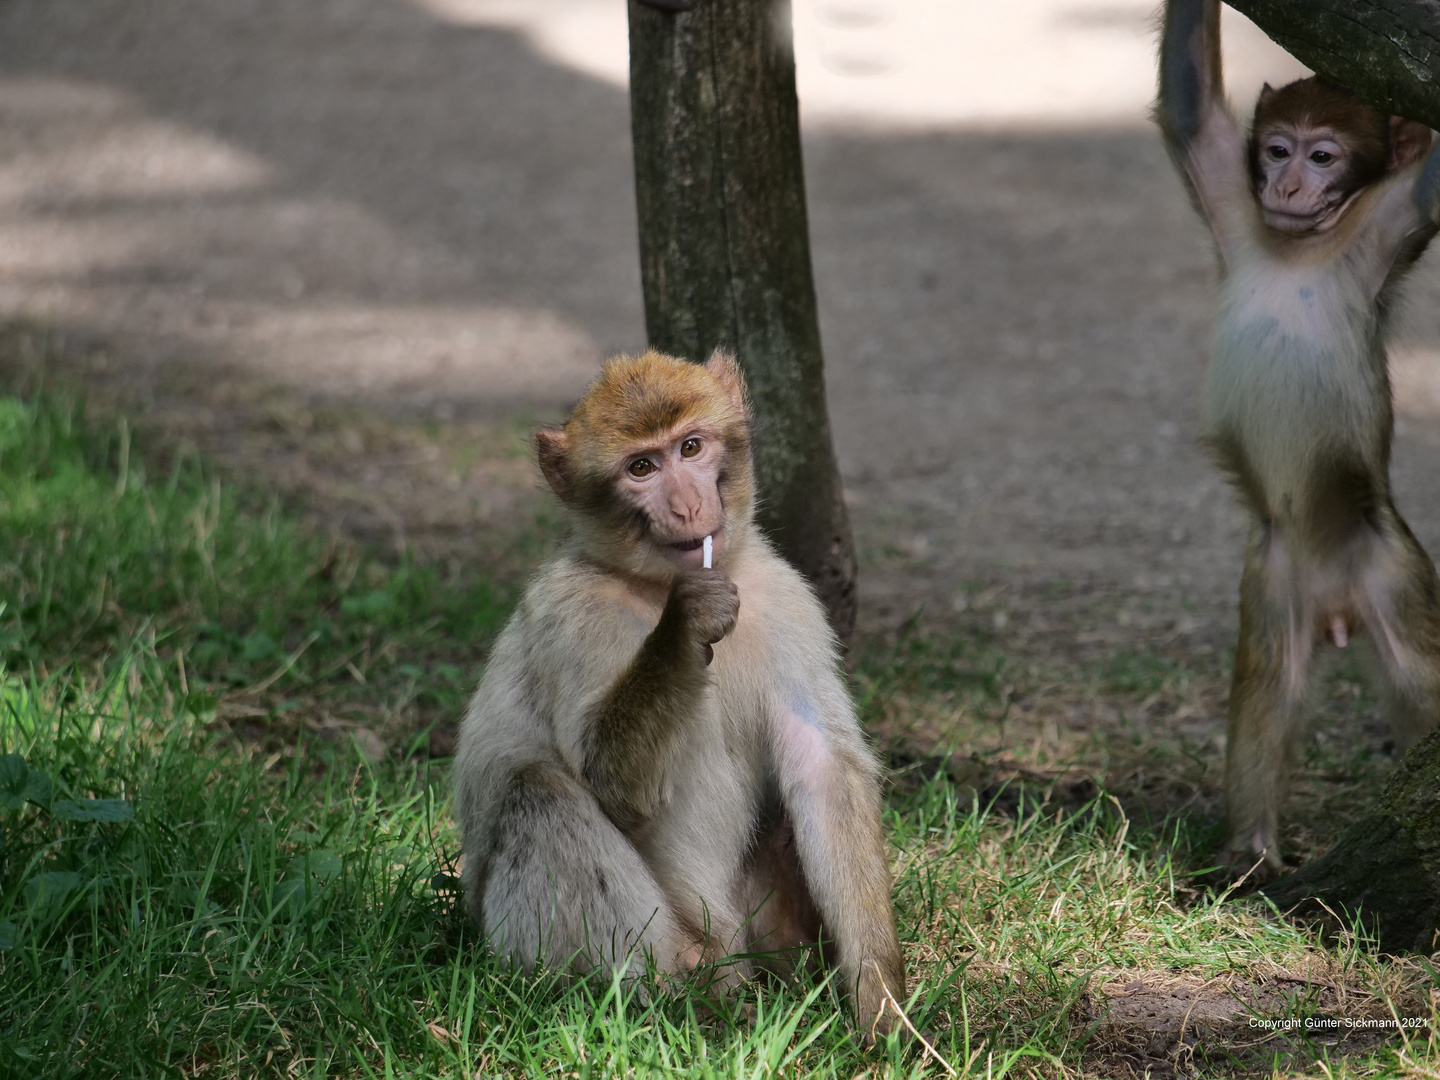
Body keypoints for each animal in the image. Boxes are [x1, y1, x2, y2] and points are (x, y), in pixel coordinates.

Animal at [452, 351, 898, 1036]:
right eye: (642, 467)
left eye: (690, 447)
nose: (688, 504)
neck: (654, 584)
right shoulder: (570, 612)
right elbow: (611, 782)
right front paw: (686, 625)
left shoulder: (788, 598)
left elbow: (823, 770)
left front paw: (883, 1001)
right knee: (539, 793)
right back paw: (669, 1007)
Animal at [1152, 0, 1440, 881]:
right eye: (1277, 148)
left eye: (1323, 156)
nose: (1285, 185)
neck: (1303, 242)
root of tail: (1337, 602)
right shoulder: (1231, 196)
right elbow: (1189, 104)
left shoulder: (1391, 220)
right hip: (1275, 579)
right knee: (1267, 693)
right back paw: (1249, 856)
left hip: (1393, 570)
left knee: (1422, 683)